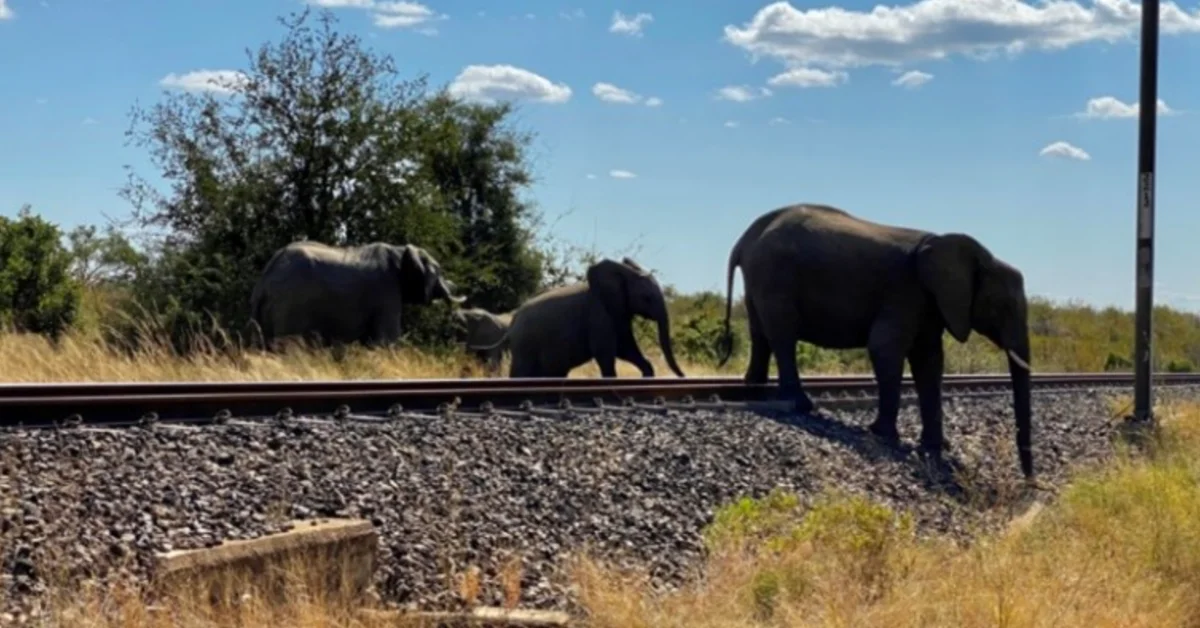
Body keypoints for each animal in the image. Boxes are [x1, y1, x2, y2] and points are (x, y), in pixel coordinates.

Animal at [250, 240, 465, 350]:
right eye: (438, 271)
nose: (454, 286)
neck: (400, 250)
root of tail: (265, 280)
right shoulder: (386, 291)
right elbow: (387, 337)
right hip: (290, 306)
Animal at [490, 257, 686, 378]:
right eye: (647, 298)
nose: (683, 376)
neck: (624, 273)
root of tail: (512, 322)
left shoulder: (619, 312)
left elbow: (626, 348)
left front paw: (647, 375)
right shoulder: (599, 314)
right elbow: (606, 353)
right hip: (524, 345)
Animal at [716, 203, 1034, 477]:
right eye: (1002, 306)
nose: (1030, 482)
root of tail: (745, 239)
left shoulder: (930, 304)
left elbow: (929, 362)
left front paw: (933, 448)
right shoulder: (905, 292)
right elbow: (885, 348)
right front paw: (884, 436)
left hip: (760, 277)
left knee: (760, 332)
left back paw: (755, 389)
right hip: (775, 275)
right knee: (782, 334)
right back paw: (801, 405)